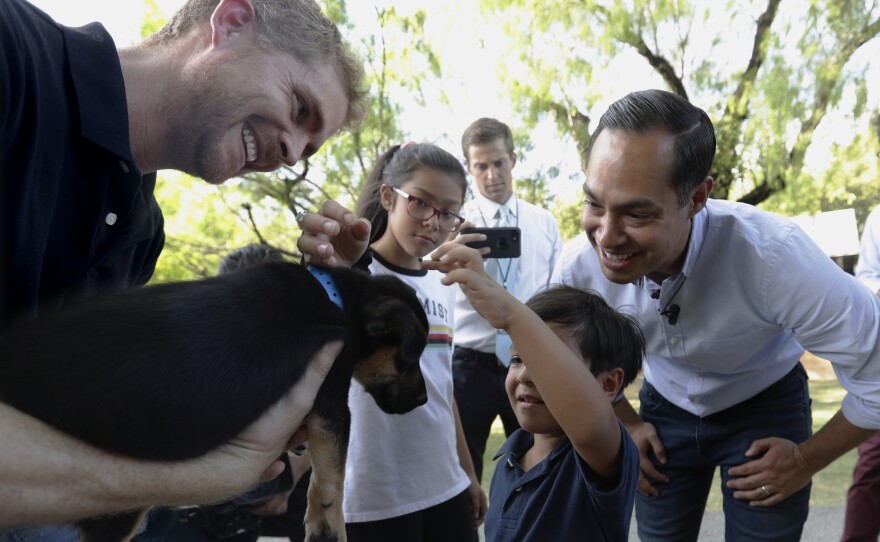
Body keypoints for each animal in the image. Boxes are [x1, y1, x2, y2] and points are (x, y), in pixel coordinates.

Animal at [0, 262, 430, 540]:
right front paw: (330, 527)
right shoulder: (331, 396)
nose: (425, 399)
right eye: (410, 358)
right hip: (117, 515)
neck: (336, 295)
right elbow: (332, 476)